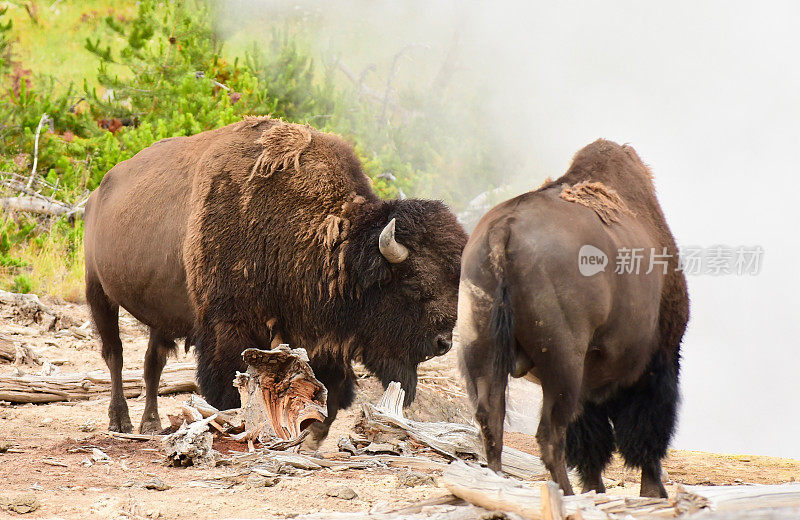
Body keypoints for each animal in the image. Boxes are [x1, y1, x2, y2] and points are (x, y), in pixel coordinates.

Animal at [84, 115, 466, 442]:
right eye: (413, 285)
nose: (443, 343)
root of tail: (98, 193)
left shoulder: (318, 339)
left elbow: (325, 395)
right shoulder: (229, 328)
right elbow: (229, 390)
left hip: (159, 317)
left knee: (152, 363)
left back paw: (150, 424)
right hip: (98, 293)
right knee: (115, 355)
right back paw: (120, 421)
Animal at [460, 140, 692, 498]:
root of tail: (503, 230)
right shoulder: (657, 361)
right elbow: (645, 432)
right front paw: (653, 491)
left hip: (482, 350)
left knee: (491, 422)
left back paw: (496, 483)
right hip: (563, 366)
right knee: (549, 435)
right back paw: (566, 494)